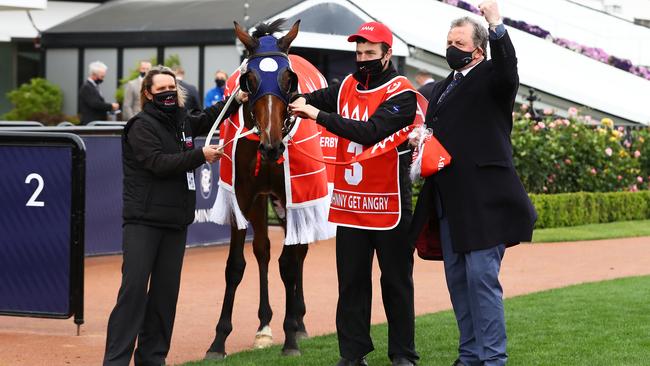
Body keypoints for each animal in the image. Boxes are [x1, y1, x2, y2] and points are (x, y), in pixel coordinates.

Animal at [205, 18, 312, 358]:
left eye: (289, 78)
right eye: (248, 79)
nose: (271, 146)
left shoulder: (291, 196)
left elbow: (289, 263)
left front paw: (291, 337)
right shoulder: (243, 196)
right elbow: (235, 265)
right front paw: (218, 341)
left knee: (298, 252)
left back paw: (298, 322)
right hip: (263, 200)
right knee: (263, 251)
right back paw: (264, 325)